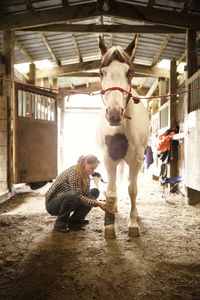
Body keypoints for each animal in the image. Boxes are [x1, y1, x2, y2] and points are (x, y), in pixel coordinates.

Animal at [97, 35, 150, 238]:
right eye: (102, 72)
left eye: (129, 72)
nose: (114, 114)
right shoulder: (109, 158)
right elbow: (111, 191)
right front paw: (109, 225)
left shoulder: (136, 161)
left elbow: (132, 190)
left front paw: (133, 223)